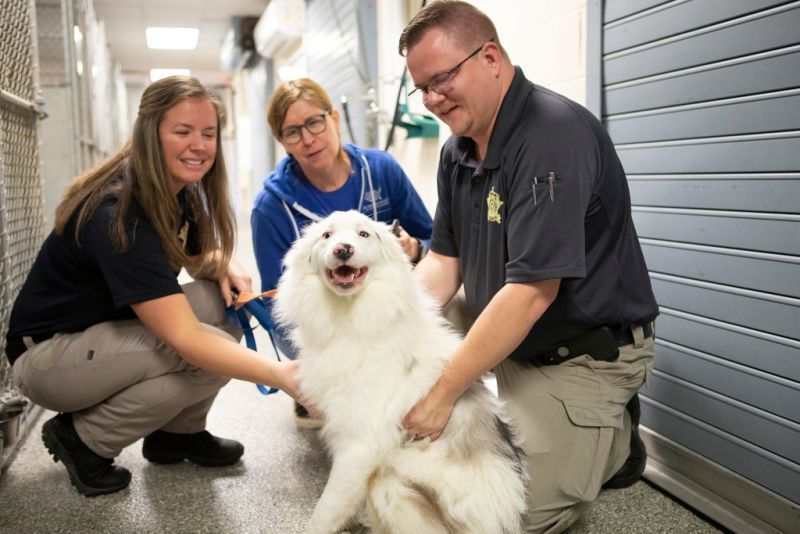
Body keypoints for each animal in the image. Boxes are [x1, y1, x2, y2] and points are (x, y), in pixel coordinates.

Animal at [276, 211, 524, 532]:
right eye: (326, 236)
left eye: (364, 234)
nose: (343, 249)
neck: (351, 318)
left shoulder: (359, 446)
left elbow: (324, 513)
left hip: (389, 481)